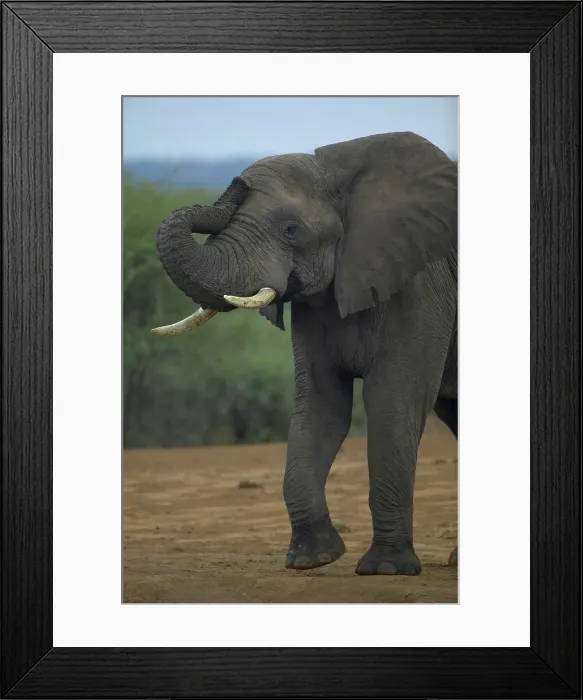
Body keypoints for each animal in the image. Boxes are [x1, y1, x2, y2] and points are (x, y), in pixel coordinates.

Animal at [152, 131, 458, 576]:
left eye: (291, 229)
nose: (238, 182)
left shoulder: (421, 284)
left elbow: (391, 399)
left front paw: (385, 569)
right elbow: (320, 406)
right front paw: (311, 560)